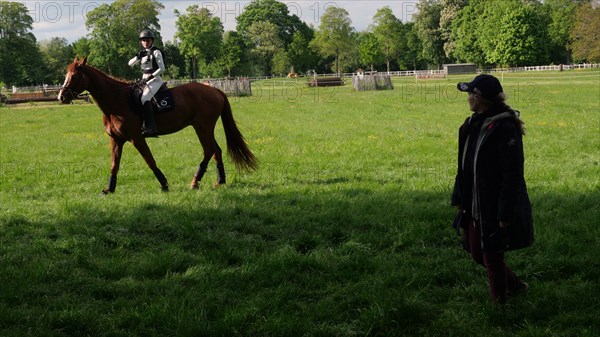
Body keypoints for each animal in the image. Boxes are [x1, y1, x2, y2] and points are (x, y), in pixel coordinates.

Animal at [58, 56, 258, 193]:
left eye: (74, 76)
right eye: (66, 74)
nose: (61, 97)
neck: (116, 102)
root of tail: (215, 90)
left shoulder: (137, 138)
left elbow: (150, 160)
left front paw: (164, 184)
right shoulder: (116, 140)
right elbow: (114, 164)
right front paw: (109, 189)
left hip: (202, 127)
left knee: (209, 150)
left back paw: (195, 182)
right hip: (205, 128)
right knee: (216, 150)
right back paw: (220, 180)